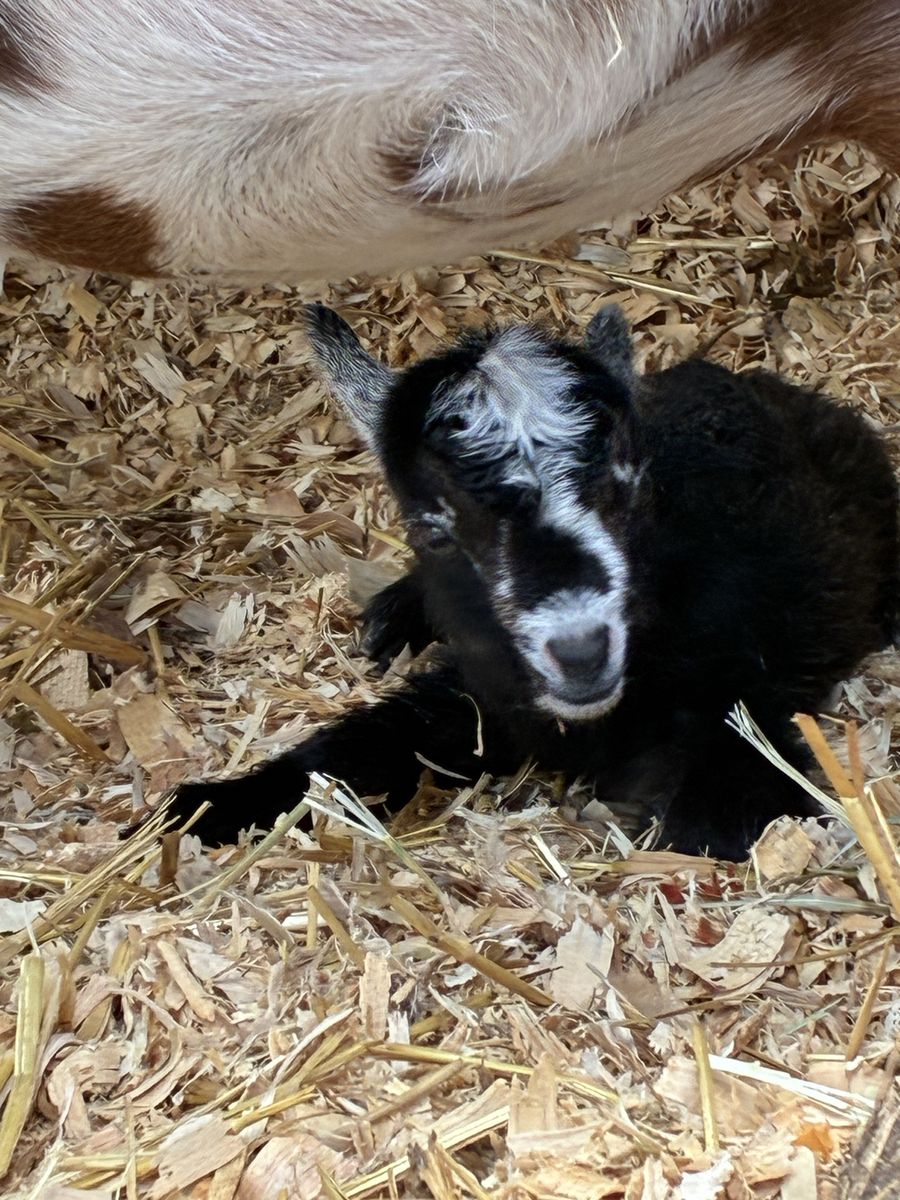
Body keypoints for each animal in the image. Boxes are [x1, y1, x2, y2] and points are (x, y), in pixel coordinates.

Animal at [170, 304, 899, 859]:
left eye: (627, 489)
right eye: (432, 528)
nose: (581, 651)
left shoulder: (745, 713)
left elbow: (711, 827)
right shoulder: (487, 696)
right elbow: (356, 748)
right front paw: (204, 806)